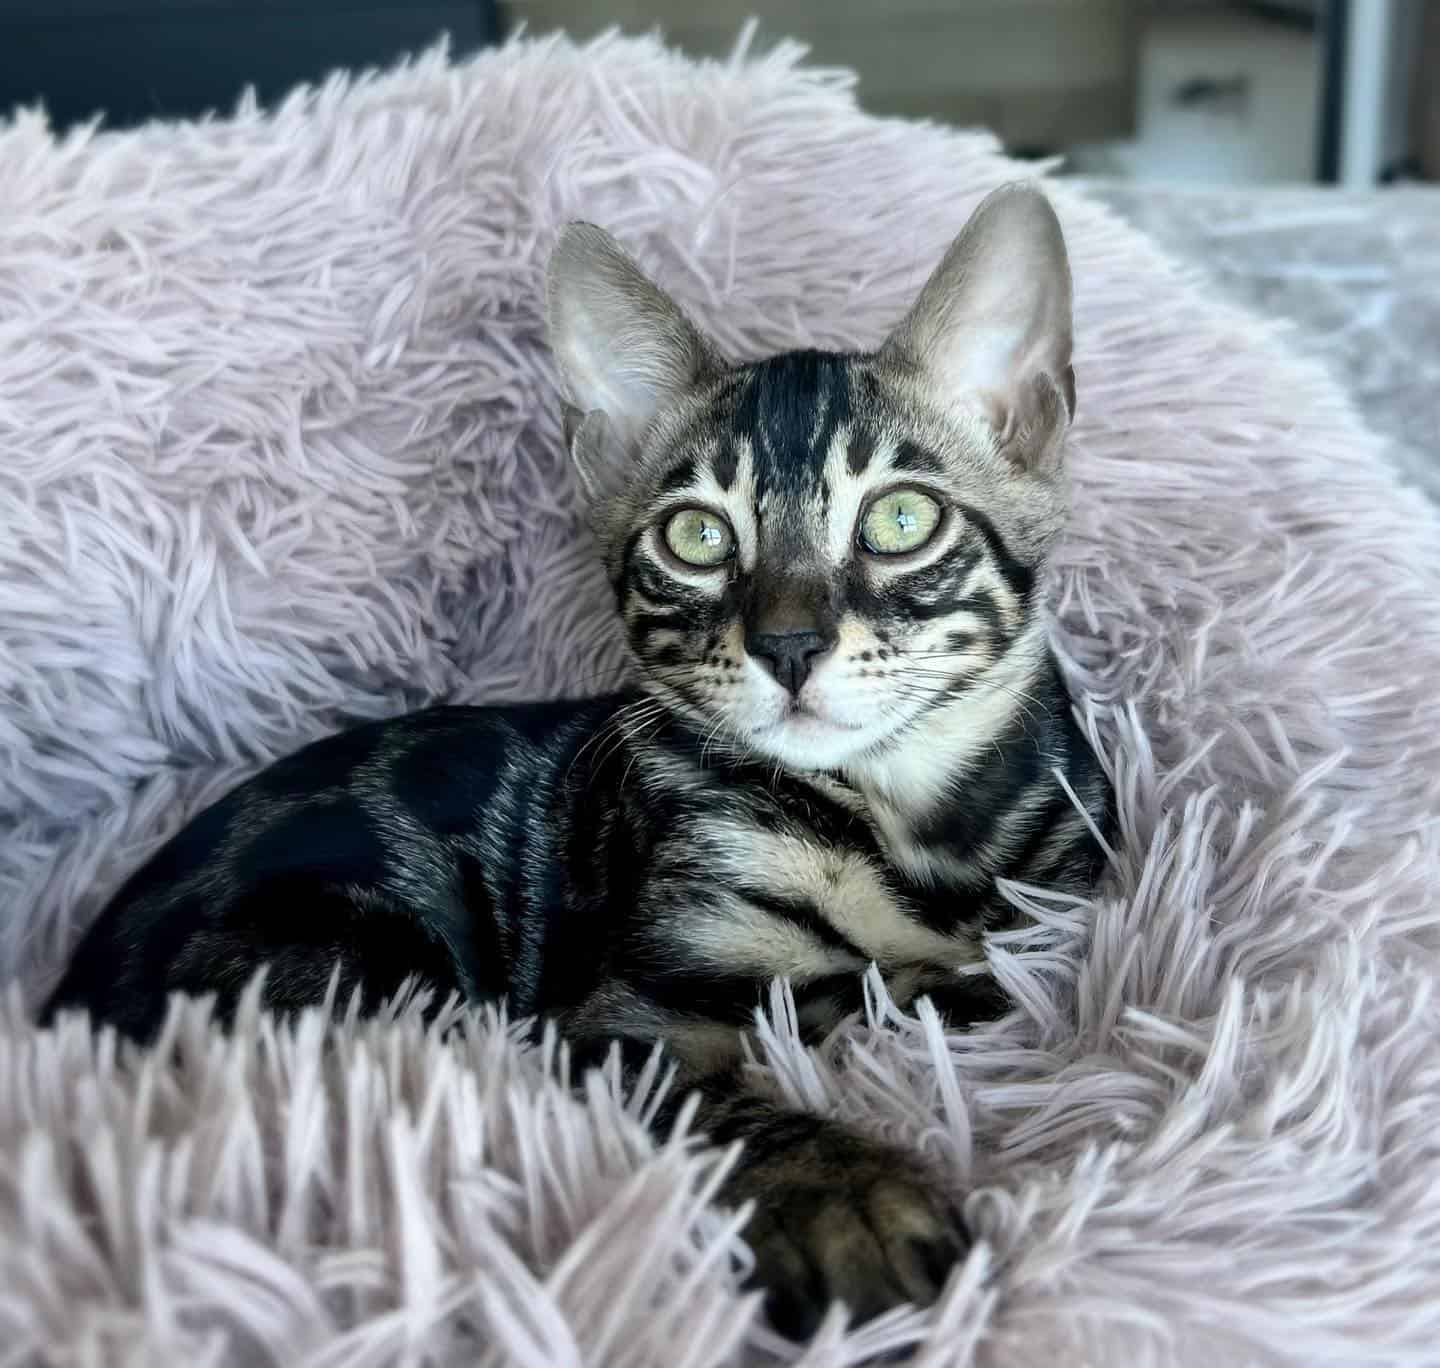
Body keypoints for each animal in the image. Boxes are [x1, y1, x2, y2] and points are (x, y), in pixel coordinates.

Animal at [36, 182, 1111, 1336]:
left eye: (902, 518)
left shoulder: (1063, 915)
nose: (787, 644)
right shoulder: (621, 1020)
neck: (901, 821)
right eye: (696, 537)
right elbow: (731, 1105)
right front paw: (850, 1204)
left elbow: (977, 977)